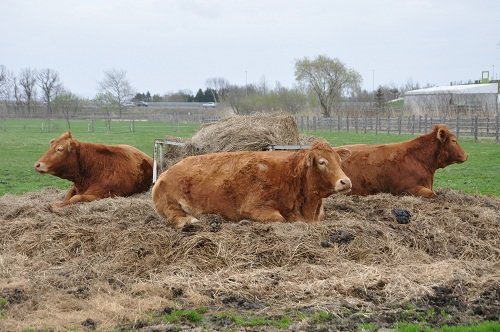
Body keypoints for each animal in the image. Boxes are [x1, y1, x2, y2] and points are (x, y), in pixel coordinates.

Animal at [152, 139, 352, 228]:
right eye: (322, 162)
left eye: (338, 161)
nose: (346, 181)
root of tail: (166, 172)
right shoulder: (254, 207)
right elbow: (279, 219)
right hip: (169, 204)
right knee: (175, 216)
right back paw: (191, 220)